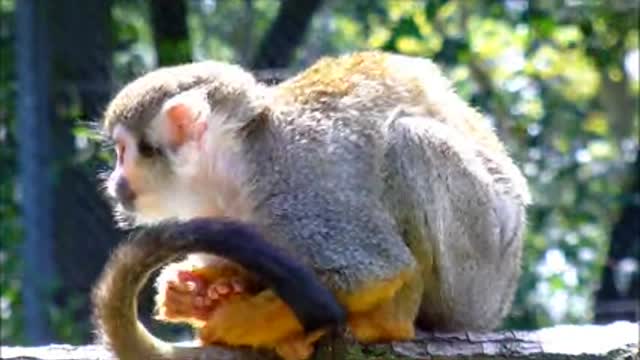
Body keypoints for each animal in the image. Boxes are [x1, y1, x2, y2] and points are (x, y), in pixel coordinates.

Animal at [97, 52, 532, 358]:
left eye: (123, 152)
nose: (114, 183)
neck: (237, 168)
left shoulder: (296, 191)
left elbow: (371, 271)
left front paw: (232, 322)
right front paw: (197, 291)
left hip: (483, 264)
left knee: (410, 142)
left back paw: (390, 319)